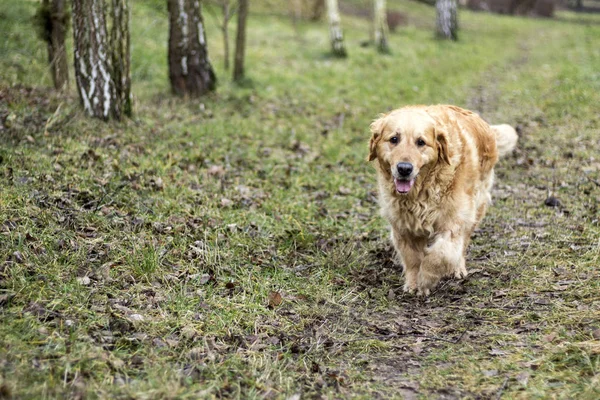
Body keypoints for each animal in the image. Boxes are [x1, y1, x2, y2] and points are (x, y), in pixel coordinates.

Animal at [368, 104, 516, 296]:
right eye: (394, 139)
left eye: (421, 142)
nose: (404, 169)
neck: (420, 193)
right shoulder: (402, 226)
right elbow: (412, 258)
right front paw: (413, 283)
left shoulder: (454, 222)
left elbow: (440, 255)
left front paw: (426, 280)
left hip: (476, 206)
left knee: (463, 243)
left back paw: (457, 269)